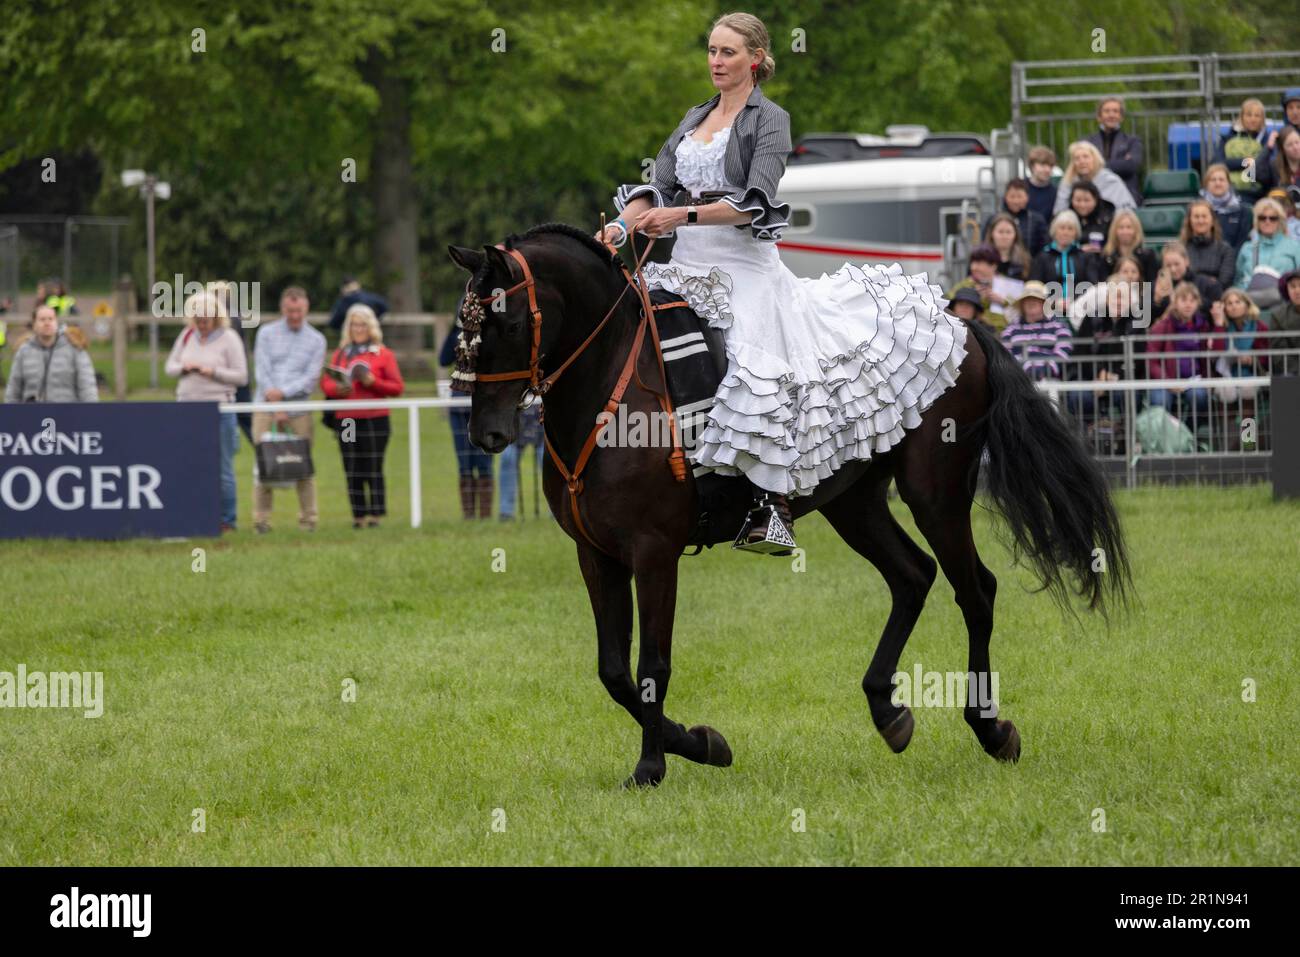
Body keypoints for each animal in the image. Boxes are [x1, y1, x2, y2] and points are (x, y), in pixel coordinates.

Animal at [448, 222, 1131, 788]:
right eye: (466, 330)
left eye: (509, 324)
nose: (486, 434)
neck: (612, 384)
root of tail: (962, 326)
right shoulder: (597, 555)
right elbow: (614, 671)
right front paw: (699, 744)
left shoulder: (654, 552)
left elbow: (652, 666)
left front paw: (655, 766)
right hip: (854, 503)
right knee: (913, 576)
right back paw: (887, 711)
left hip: (934, 497)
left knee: (976, 590)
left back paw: (990, 729)